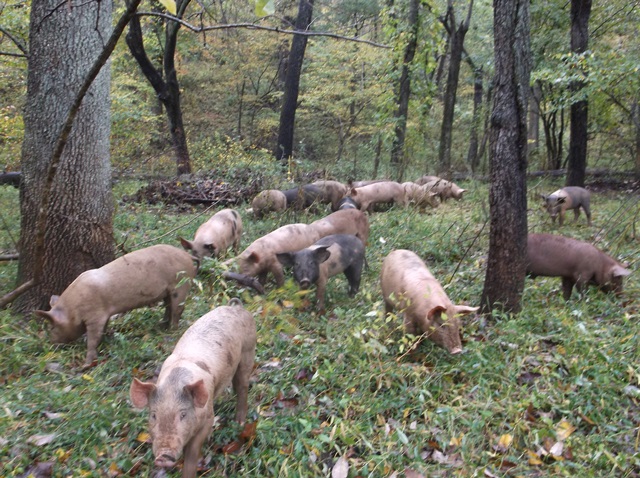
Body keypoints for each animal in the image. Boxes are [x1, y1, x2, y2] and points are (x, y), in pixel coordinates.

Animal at [34, 245, 195, 368]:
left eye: (52, 326)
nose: (51, 343)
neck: (72, 309)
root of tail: (188, 256)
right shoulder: (104, 314)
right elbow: (102, 330)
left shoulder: (95, 315)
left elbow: (93, 338)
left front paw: (86, 364)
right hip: (168, 291)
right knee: (168, 306)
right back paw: (162, 325)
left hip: (181, 284)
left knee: (178, 308)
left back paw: (172, 329)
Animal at [129, 298, 256, 478]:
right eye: (153, 415)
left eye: (183, 414)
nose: (163, 457)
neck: (174, 383)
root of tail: (236, 307)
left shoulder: (208, 416)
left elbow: (193, 451)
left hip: (248, 349)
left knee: (243, 386)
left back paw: (239, 422)